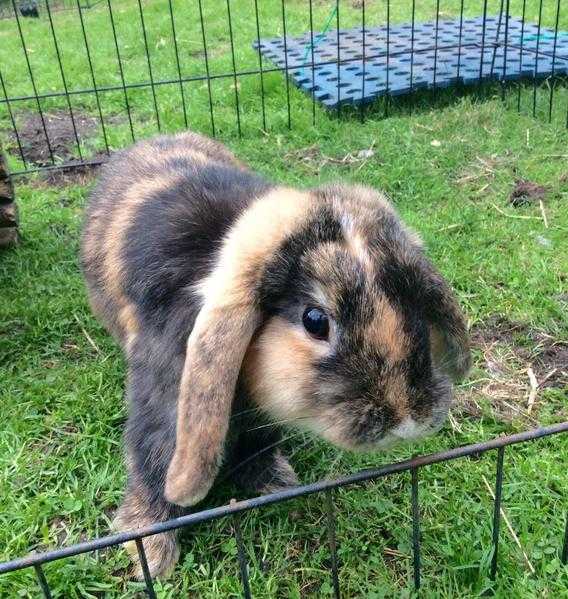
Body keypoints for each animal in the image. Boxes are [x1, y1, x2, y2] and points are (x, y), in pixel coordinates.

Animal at [80, 130, 470, 576]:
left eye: (412, 305)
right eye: (315, 320)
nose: (406, 421)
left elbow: (259, 445)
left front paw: (277, 482)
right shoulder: (163, 401)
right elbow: (153, 457)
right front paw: (153, 552)